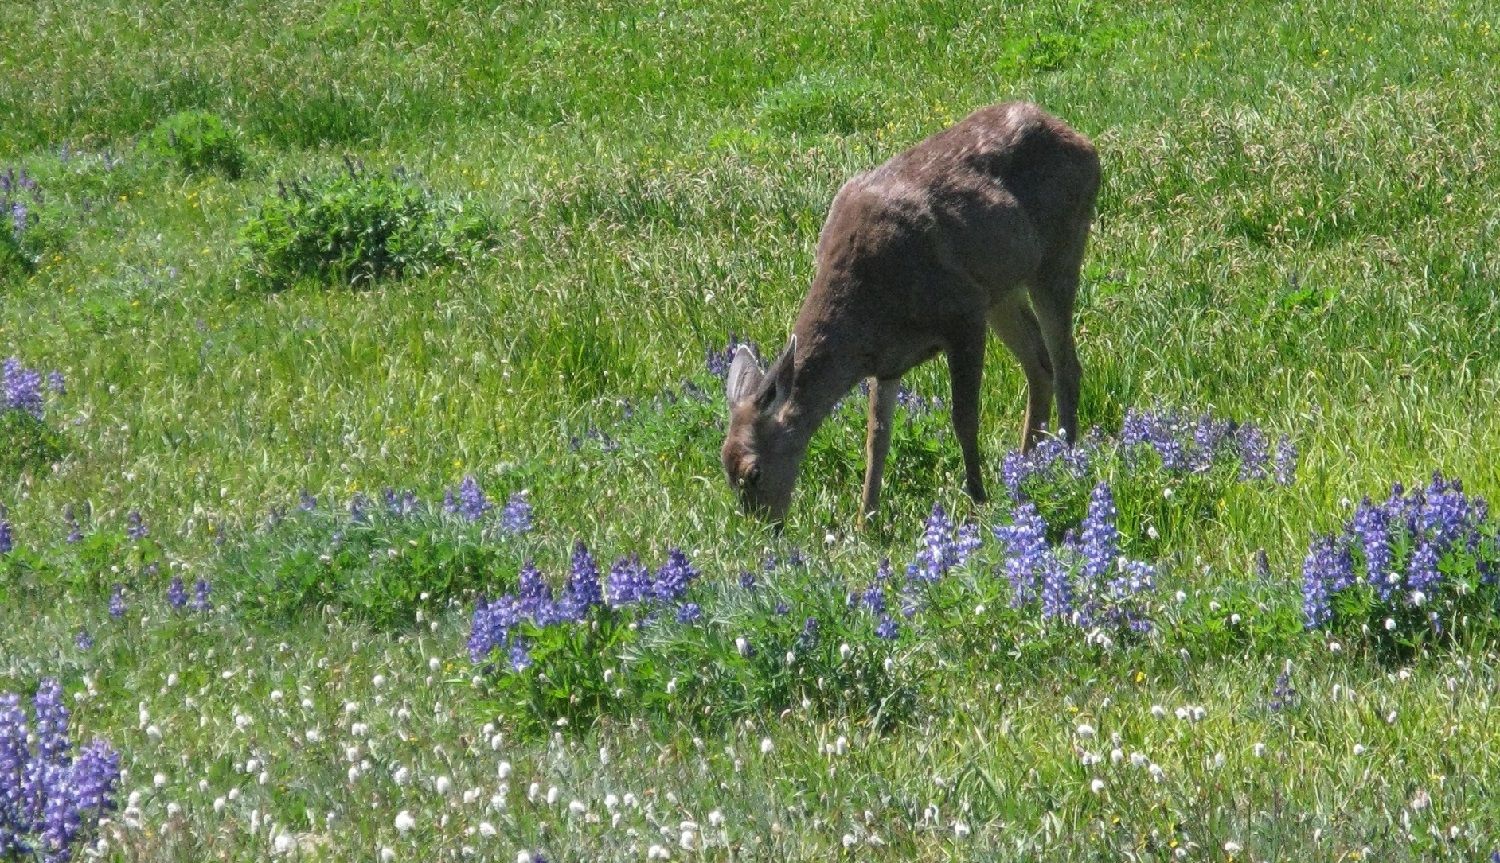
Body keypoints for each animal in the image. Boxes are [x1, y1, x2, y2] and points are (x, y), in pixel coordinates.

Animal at [720, 99, 1098, 528]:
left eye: (753, 472)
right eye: (725, 471)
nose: (767, 530)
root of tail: (1083, 141)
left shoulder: (962, 311)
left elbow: (963, 418)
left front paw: (977, 500)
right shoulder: (887, 361)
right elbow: (876, 438)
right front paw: (864, 521)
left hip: (1060, 250)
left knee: (1066, 364)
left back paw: (1066, 460)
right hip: (1003, 290)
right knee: (1039, 365)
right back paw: (1028, 462)